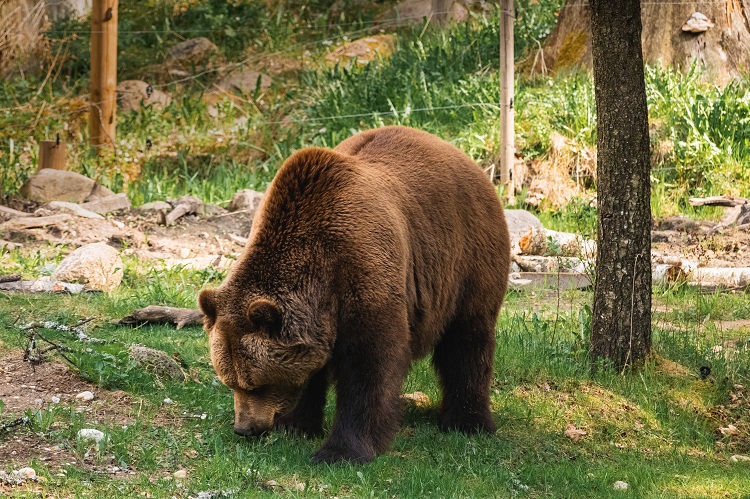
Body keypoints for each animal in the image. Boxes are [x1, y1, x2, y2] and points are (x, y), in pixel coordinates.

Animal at [200, 125, 512, 464]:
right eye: (229, 381)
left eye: (255, 385)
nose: (244, 428)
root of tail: (461, 155)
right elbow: (311, 368)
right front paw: (296, 424)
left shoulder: (364, 271)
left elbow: (370, 366)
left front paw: (340, 450)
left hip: (466, 255)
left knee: (467, 339)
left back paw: (467, 421)